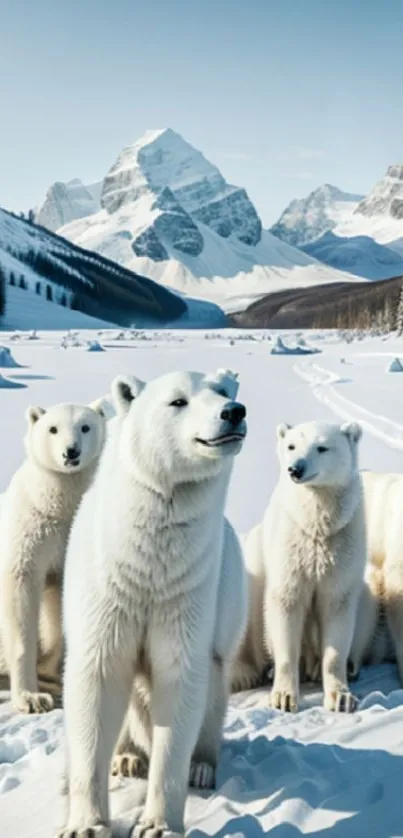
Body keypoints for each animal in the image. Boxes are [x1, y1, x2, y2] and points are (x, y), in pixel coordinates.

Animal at [0, 400, 106, 716]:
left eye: (85, 426)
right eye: (53, 428)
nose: (71, 452)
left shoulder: (67, 541)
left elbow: (58, 605)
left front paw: (51, 679)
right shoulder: (28, 536)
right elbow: (20, 600)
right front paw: (31, 698)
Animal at [58, 370, 248, 838]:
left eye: (223, 391)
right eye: (177, 401)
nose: (233, 412)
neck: (146, 564)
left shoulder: (185, 591)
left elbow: (180, 683)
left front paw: (158, 825)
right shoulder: (109, 591)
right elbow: (99, 678)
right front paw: (87, 824)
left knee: (213, 688)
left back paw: (202, 766)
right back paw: (126, 757)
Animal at [235, 420, 368, 716]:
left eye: (322, 447)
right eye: (291, 445)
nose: (295, 469)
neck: (316, 527)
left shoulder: (342, 546)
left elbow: (337, 609)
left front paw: (341, 698)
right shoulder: (291, 549)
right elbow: (286, 605)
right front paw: (283, 697)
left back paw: (321, 667)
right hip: (255, 563)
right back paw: (245, 674)